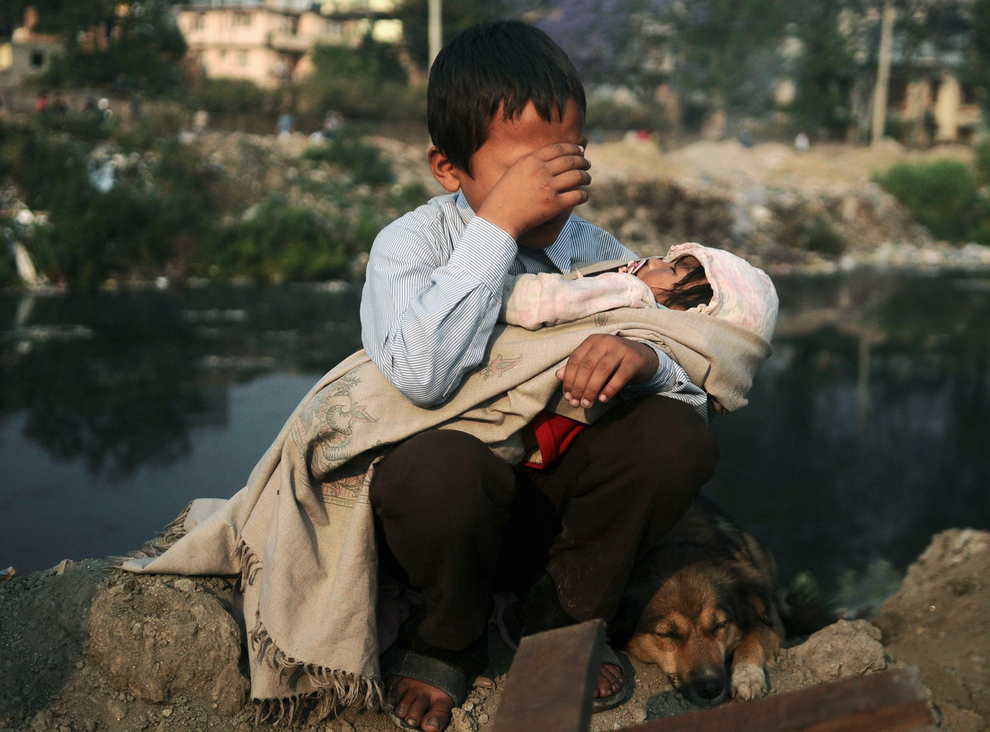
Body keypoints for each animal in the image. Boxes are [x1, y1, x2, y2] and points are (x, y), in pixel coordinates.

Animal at [608, 498, 816, 704]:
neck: (676, 542)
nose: (710, 690)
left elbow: (754, 636)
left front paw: (746, 676)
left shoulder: (769, 617)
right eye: (667, 634)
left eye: (720, 625)